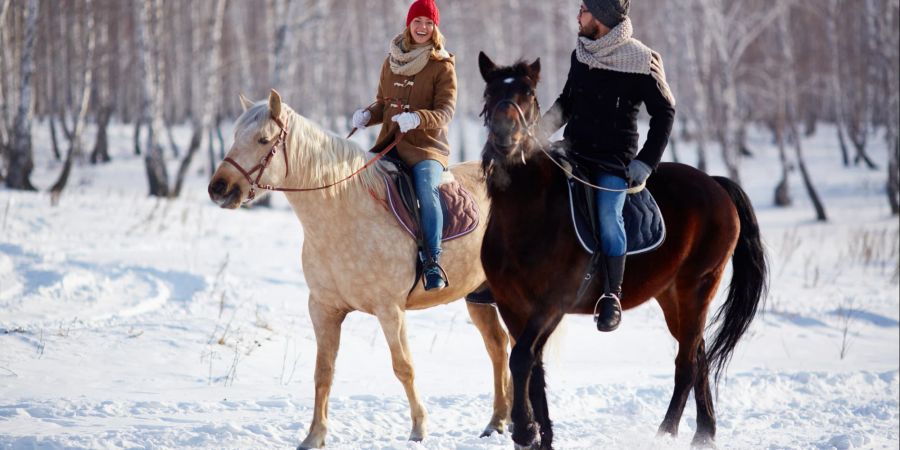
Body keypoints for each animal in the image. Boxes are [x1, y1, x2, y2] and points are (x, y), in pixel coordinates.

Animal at [207, 89, 510, 448]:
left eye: (263, 139)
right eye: (235, 136)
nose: (218, 189)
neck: (344, 211)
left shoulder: (390, 310)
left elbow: (403, 366)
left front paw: (419, 428)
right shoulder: (323, 309)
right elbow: (323, 371)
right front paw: (314, 435)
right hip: (478, 296)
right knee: (498, 347)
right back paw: (497, 421)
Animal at [478, 53, 768, 450]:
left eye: (528, 94)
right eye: (490, 93)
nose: (505, 136)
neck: (528, 213)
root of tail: (715, 183)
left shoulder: (552, 303)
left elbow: (522, 359)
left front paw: (525, 430)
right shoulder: (512, 305)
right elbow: (532, 366)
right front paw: (542, 436)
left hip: (698, 285)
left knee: (687, 363)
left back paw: (666, 433)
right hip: (671, 296)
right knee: (699, 354)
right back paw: (704, 433)